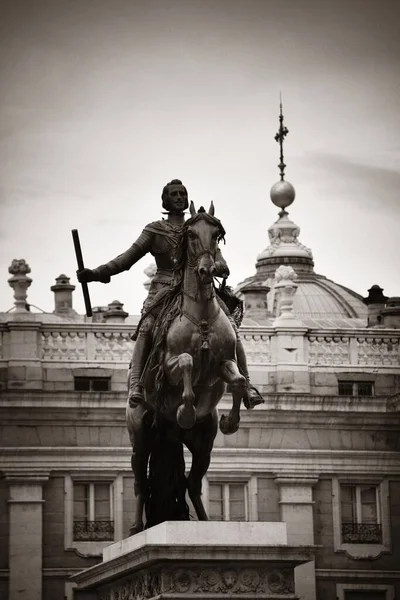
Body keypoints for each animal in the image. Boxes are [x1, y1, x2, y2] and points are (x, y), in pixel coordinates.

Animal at [126, 203, 247, 536]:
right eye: (190, 234)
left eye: (216, 234)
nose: (208, 270)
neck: (201, 314)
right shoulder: (167, 365)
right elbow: (186, 363)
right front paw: (186, 410)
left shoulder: (225, 363)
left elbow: (238, 380)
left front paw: (232, 420)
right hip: (141, 439)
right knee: (141, 484)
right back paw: (135, 528)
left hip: (203, 445)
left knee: (192, 486)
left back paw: (206, 524)